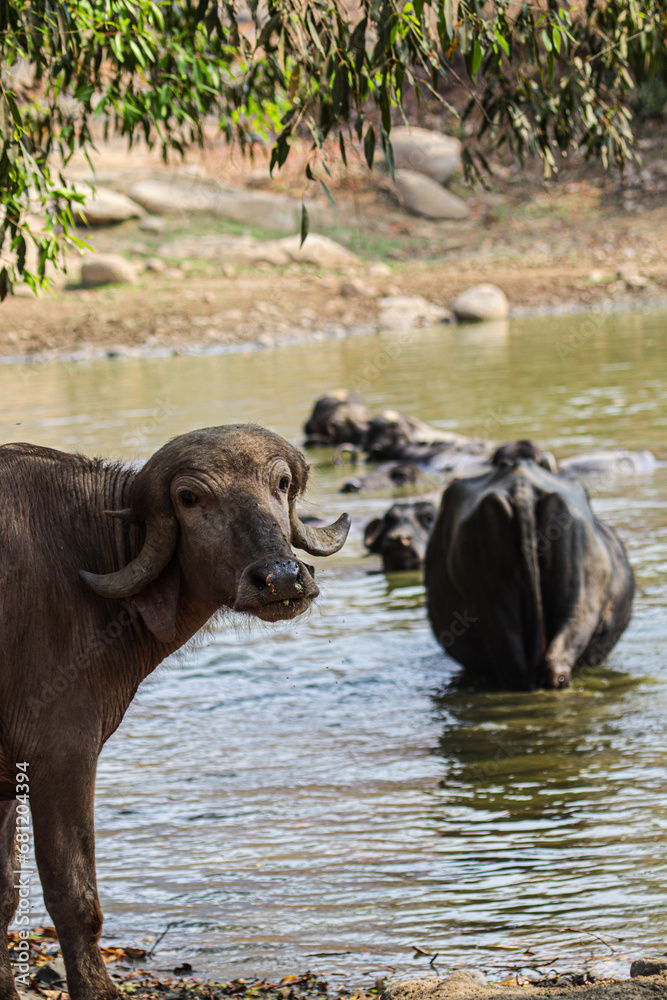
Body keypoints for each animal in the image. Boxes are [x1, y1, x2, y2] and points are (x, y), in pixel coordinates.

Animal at [0, 426, 349, 1000]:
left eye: (280, 483)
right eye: (189, 497)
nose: (281, 578)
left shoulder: (7, 778)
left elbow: (5, 893)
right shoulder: (61, 754)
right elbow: (73, 894)